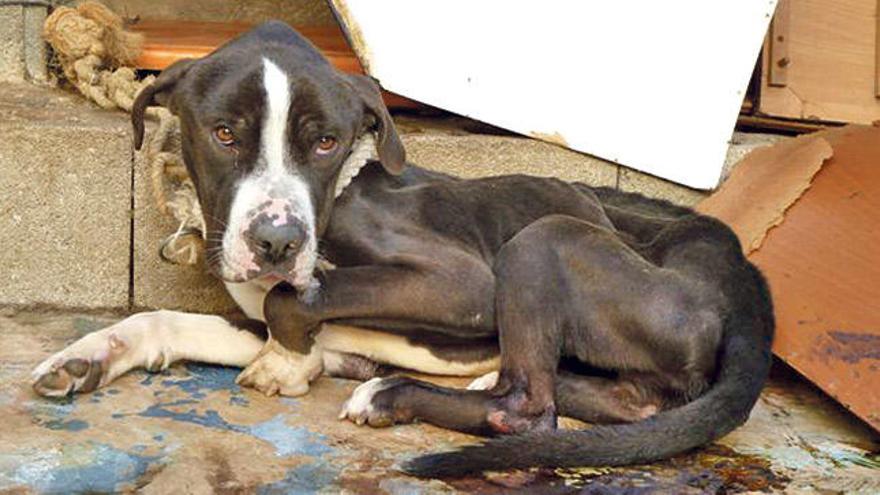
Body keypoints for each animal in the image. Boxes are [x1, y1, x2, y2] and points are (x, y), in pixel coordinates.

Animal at [31, 21, 772, 478]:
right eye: (223, 134)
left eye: (326, 142)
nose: (277, 241)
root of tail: (739, 283)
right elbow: (182, 317)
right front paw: (87, 357)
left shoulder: (460, 282)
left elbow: (290, 299)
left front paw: (288, 365)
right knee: (622, 404)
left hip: (543, 238)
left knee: (527, 407)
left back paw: (395, 395)